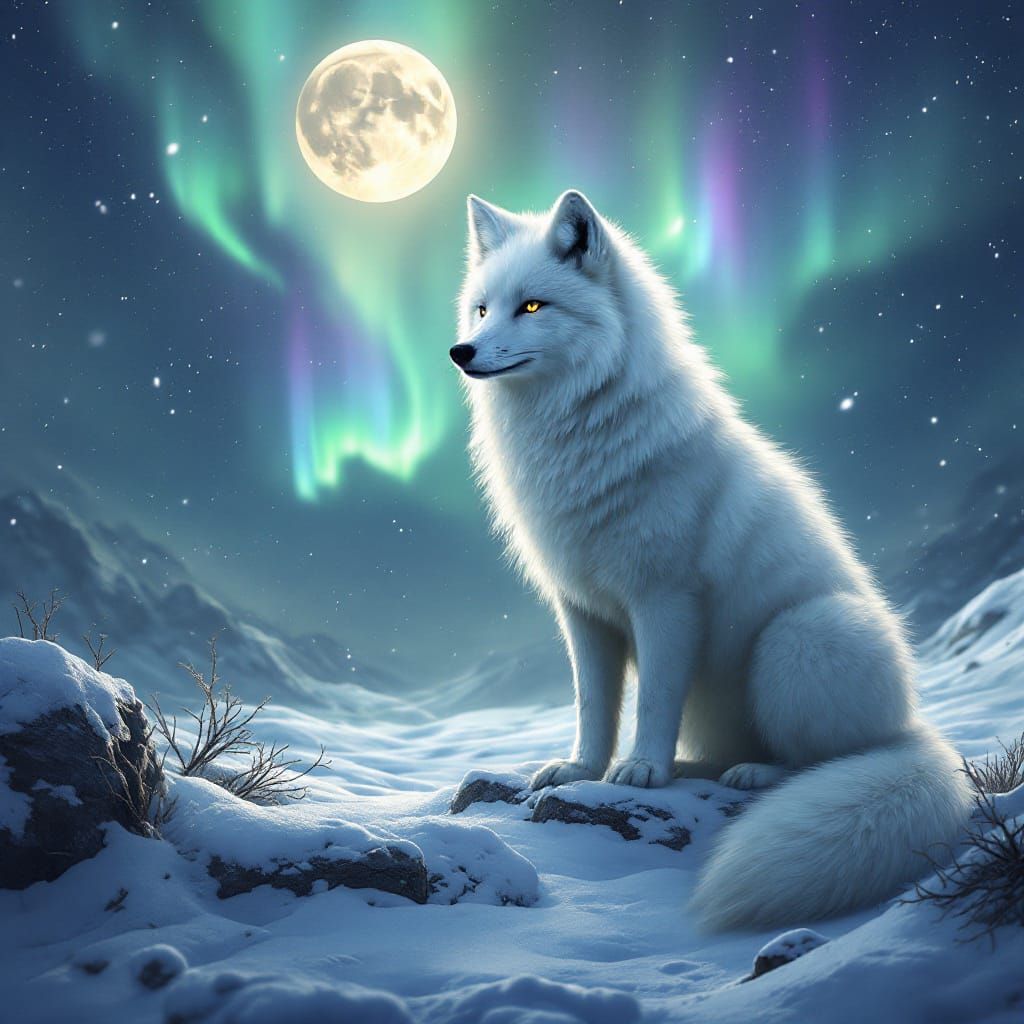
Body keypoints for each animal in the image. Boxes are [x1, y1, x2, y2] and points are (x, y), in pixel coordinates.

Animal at [450, 188, 975, 931]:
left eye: (531, 306)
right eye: (482, 309)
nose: (459, 351)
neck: (576, 430)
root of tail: (914, 728)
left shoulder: (665, 599)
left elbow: (652, 699)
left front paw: (641, 770)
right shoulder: (582, 609)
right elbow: (592, 703)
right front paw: (582, 770)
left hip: (800, 638)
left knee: (820, 761)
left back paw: (755, 774)